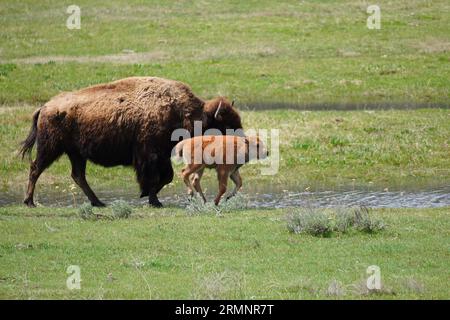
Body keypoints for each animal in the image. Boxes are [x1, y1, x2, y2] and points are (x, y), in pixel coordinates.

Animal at [20, 77, 243, 208]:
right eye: (225, 125)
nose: (241, 144)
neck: (182, 111)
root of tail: (45, 107)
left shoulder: (162, 156)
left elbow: (167, 177)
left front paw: (148, 196)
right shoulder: (150, 156)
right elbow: (156, 178)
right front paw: (152, 199)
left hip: (76, 154)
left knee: (78, 176)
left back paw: (98, 202)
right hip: (51, 149)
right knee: (36, 169)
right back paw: (29, 202)